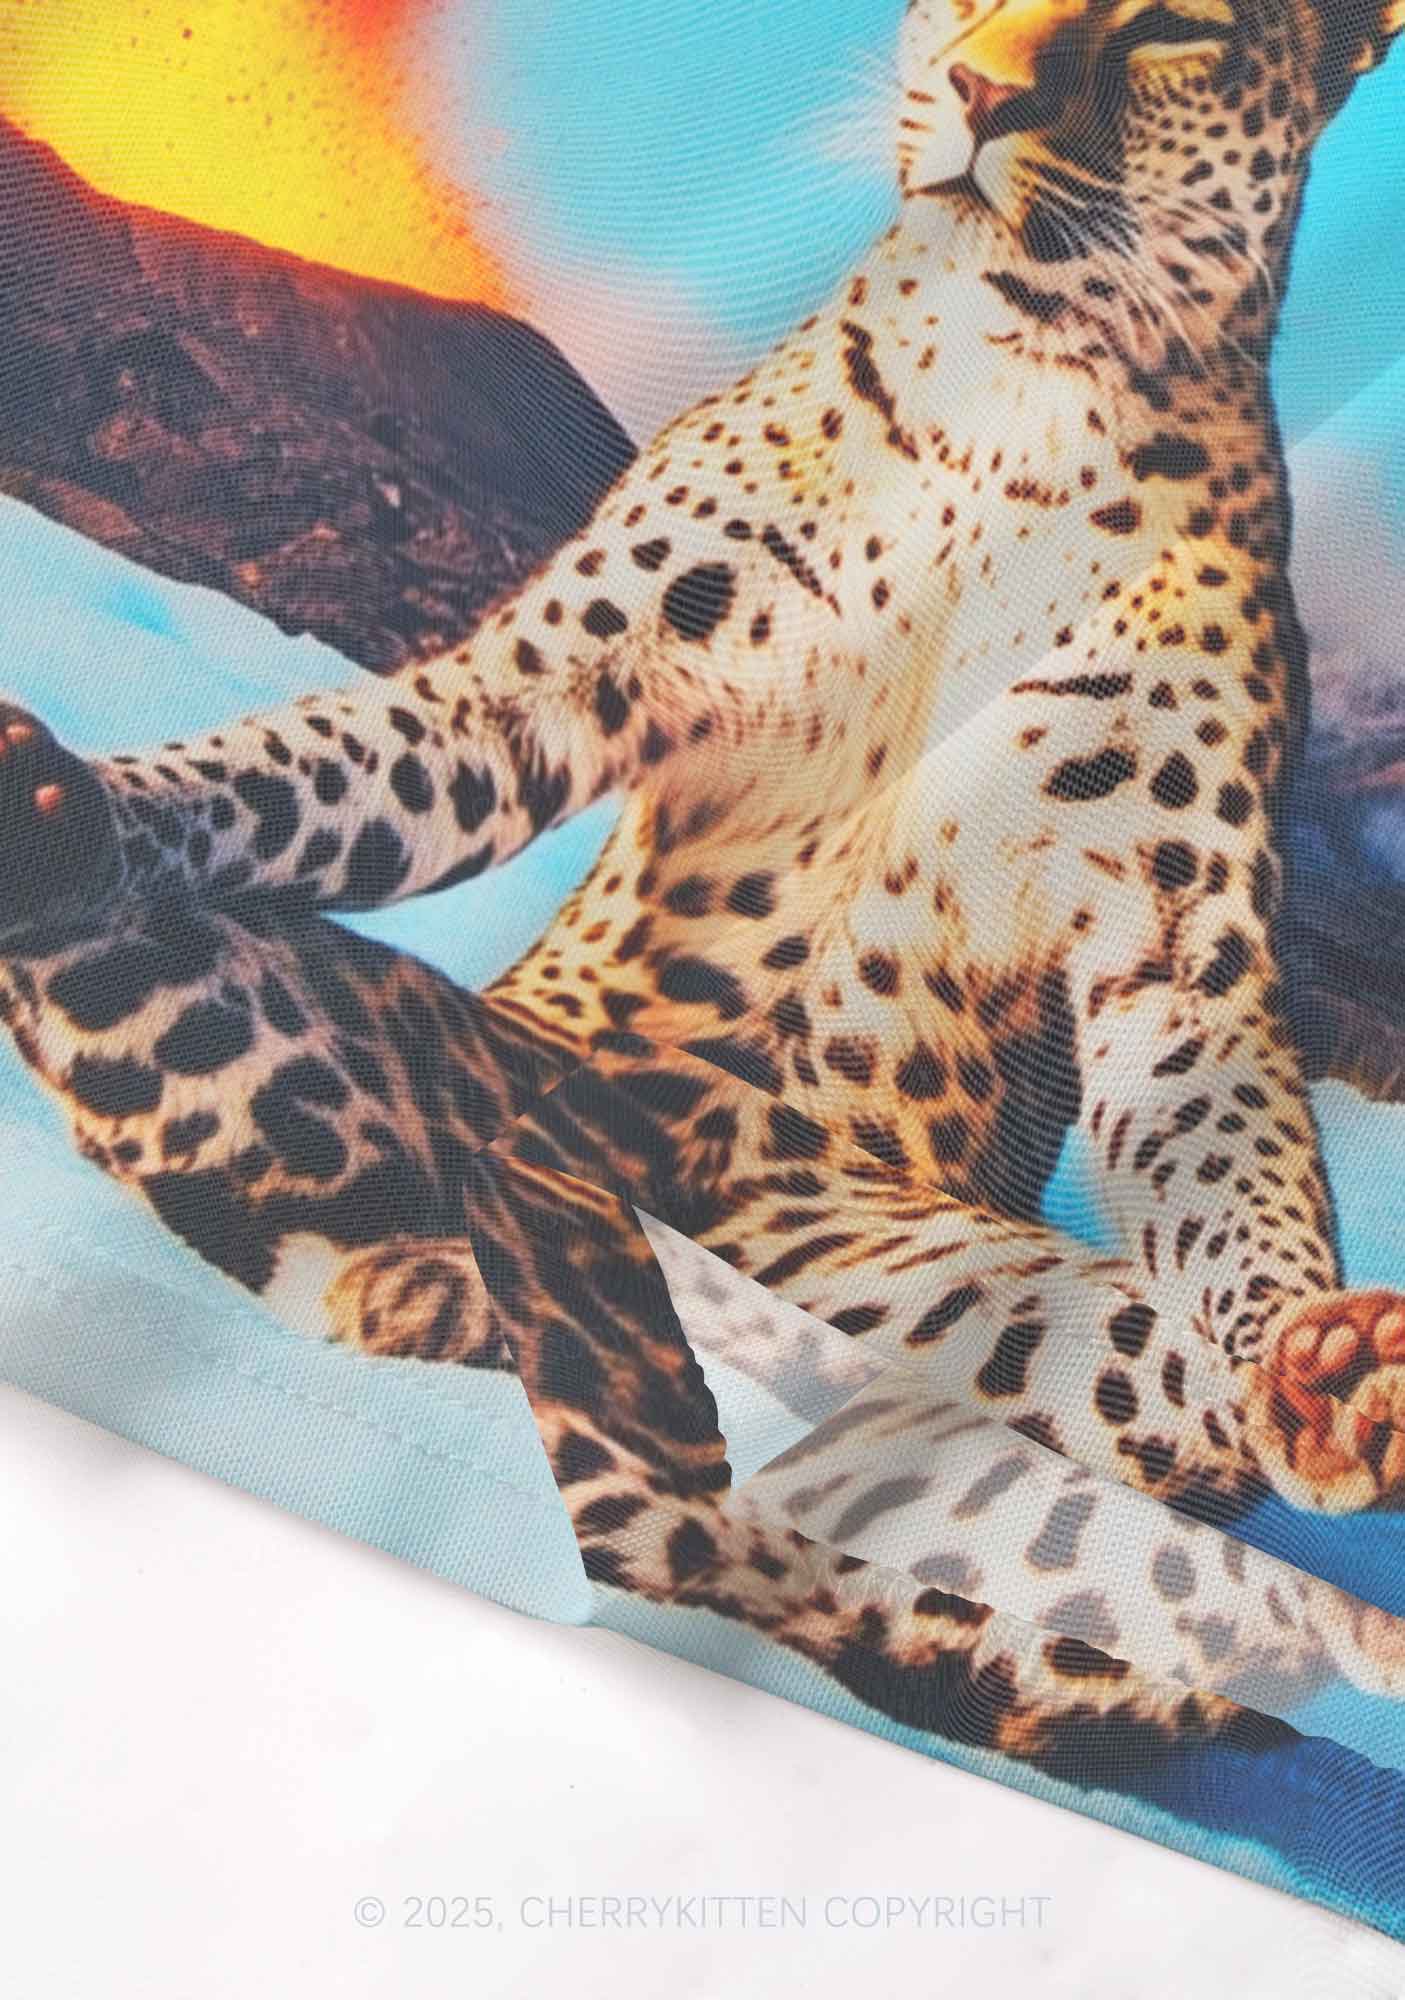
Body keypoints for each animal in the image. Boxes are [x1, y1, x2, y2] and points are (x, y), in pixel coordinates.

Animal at [3, 0, 1405, 1781]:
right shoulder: (541, 690)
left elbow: (1230, 1161)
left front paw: (1319, 1364)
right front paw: (97, 804)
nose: (980, 93)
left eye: (1171, 27)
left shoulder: (1171, 909)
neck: (1016, 387)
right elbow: (320, 764)